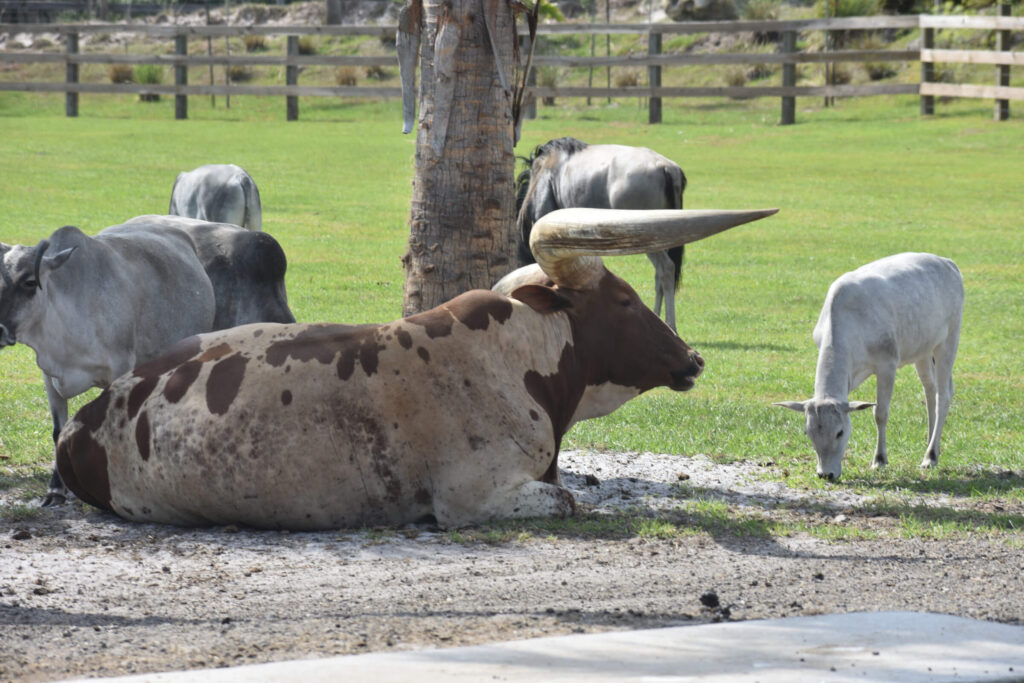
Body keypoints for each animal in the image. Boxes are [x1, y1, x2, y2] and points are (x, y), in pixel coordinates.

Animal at [0, 216, 296, 505]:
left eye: (29, 282)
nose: (1, 330)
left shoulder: (120, 368)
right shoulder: (50, 376)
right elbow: (58, 430)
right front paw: (55, 490)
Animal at [56, 205, 774, 532]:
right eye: (623, 299)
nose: (692, 357)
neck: (516, 357)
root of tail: (86, 420)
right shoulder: (476, 496)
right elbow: (568, 498)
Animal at [770, 250, 962, 481]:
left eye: (840, 432)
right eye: (808, 432)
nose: (826, 474)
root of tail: (949, 263)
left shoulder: (887, 362)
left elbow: (880, 413)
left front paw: (879, 460)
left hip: (949, 338)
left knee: (944, 394)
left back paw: (930, 457)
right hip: (922, 350)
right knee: (930, 390)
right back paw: (930, 446)